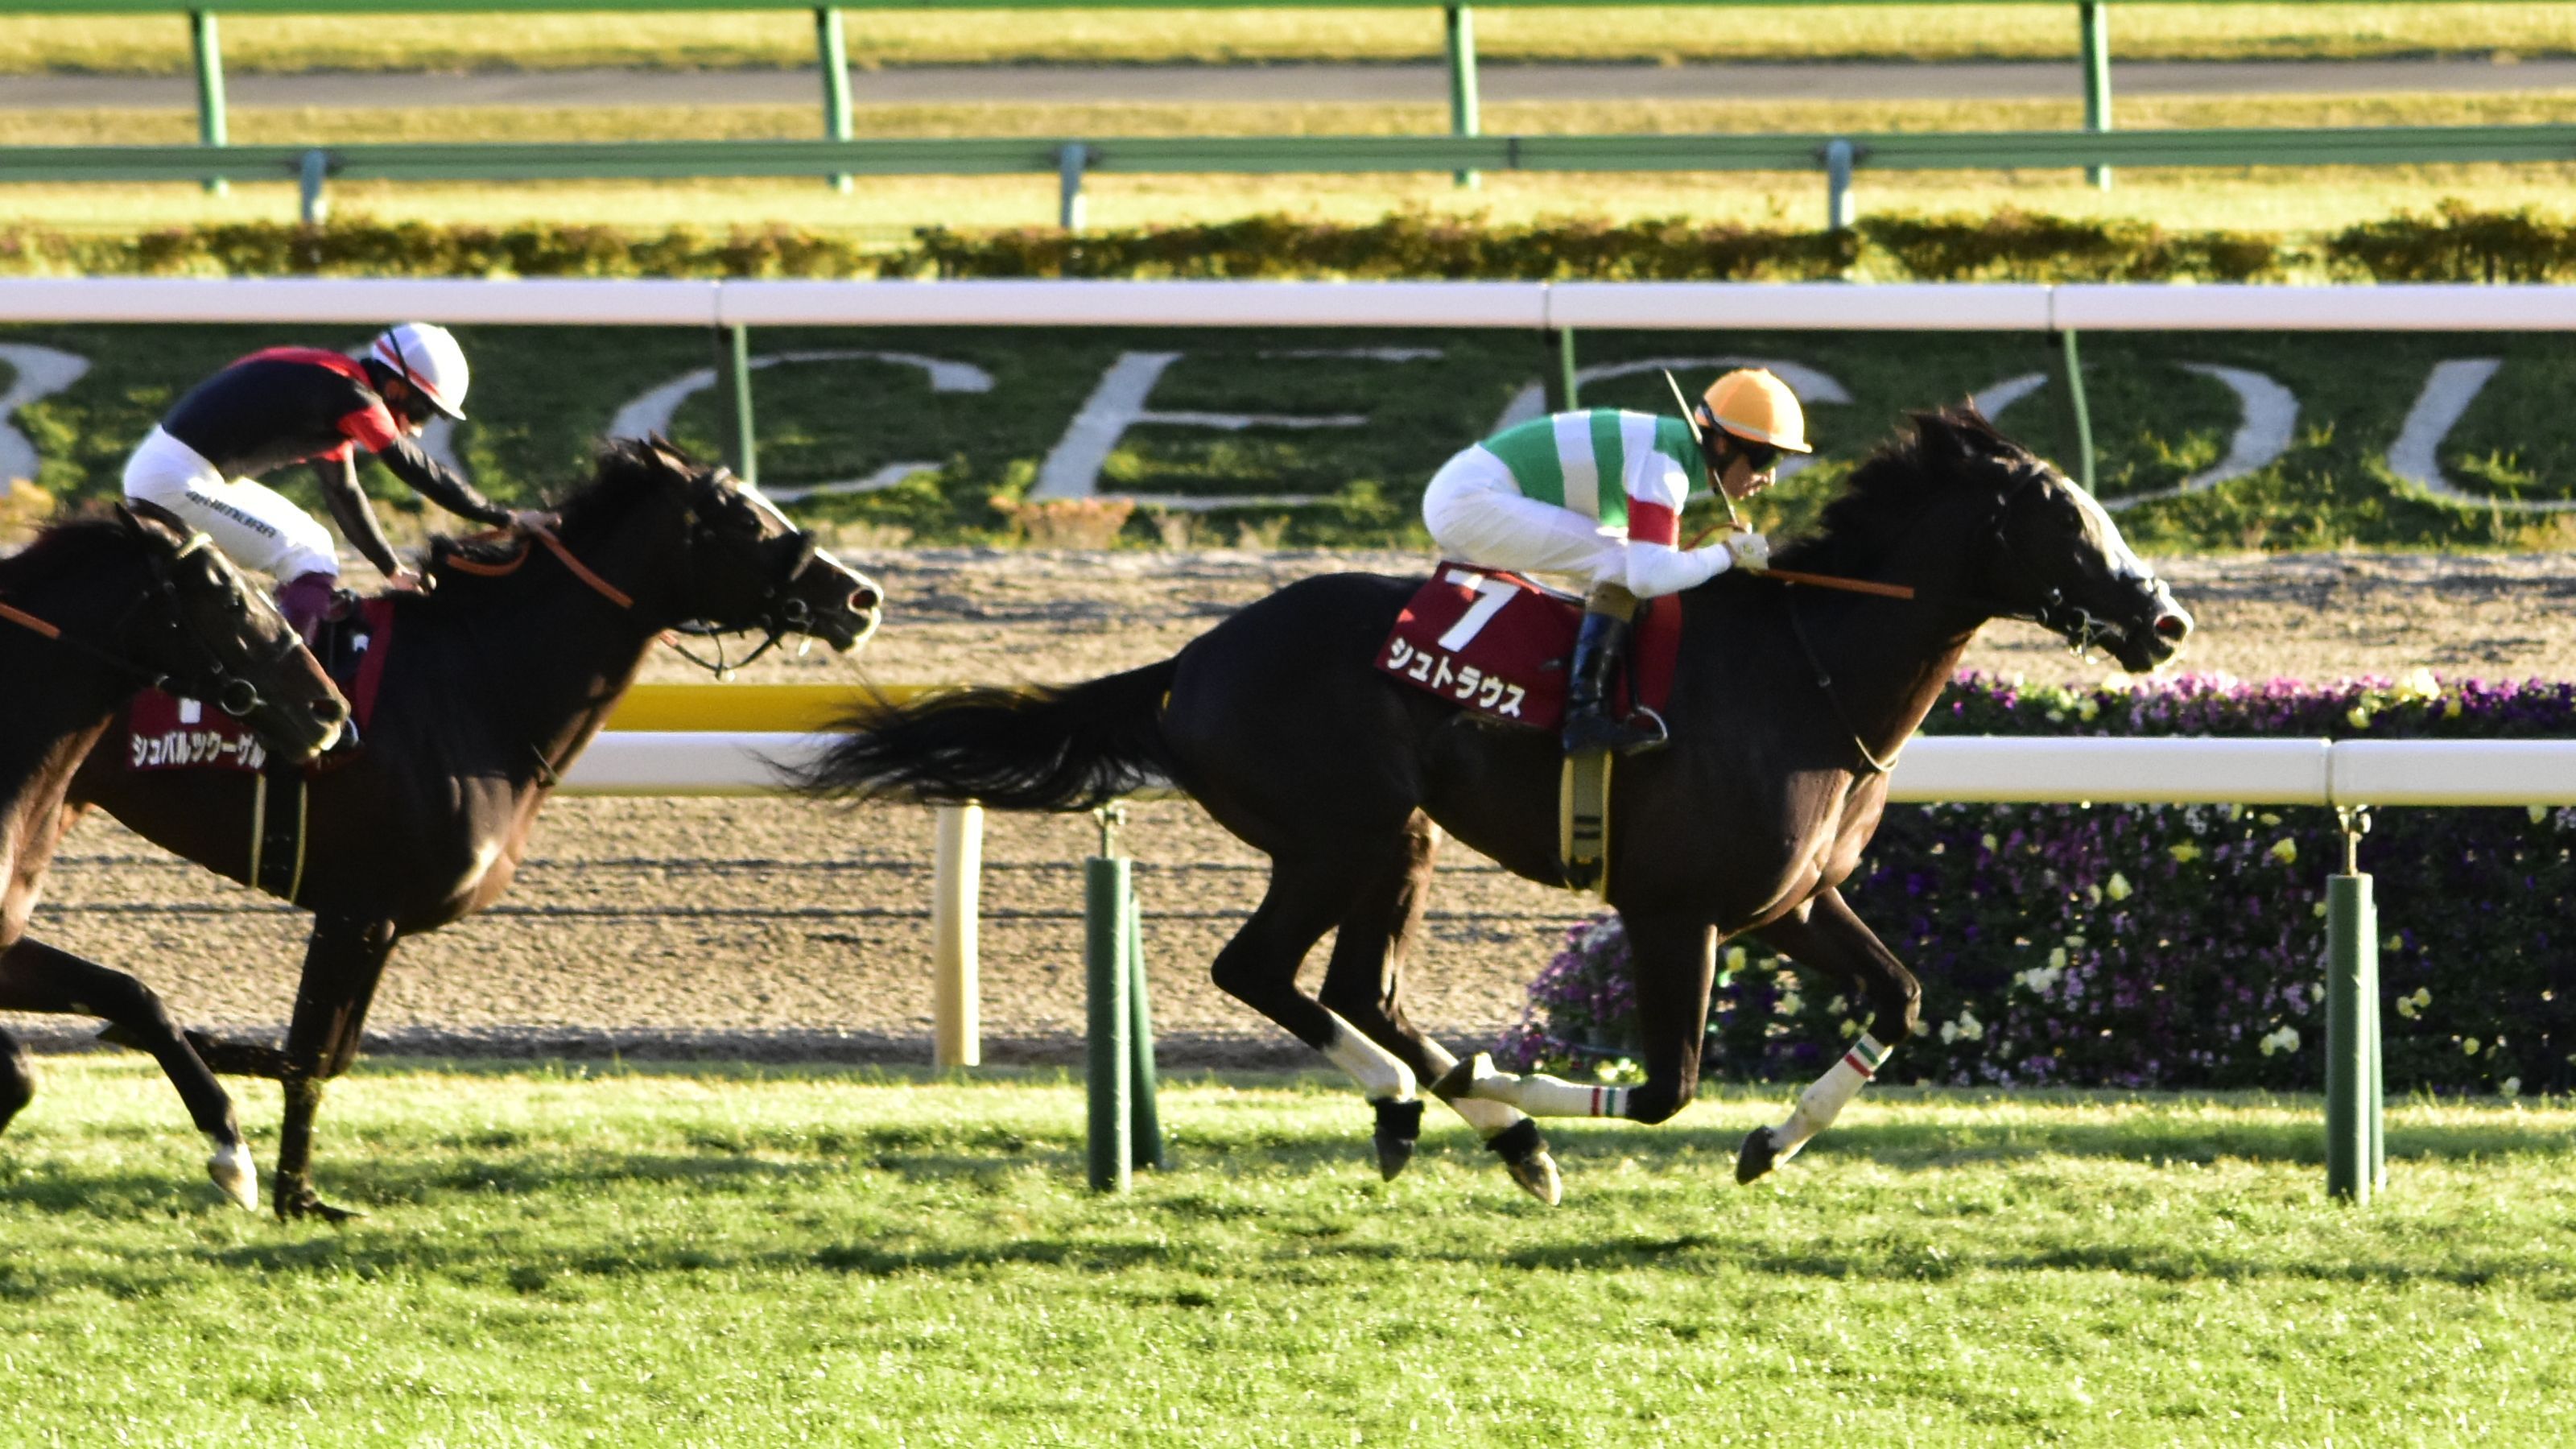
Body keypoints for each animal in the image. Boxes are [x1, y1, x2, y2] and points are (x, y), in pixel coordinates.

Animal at [59, 438, 882, 1220]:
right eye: (743, 519)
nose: (861, 596)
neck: (476, 685)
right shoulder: (355, 907)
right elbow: (307, 1056)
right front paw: (284, 1184)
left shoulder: (381, 918)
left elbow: (327, 1056)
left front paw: (298, 1188)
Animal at [795, 408, 2192, 1202]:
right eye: (2067, 522)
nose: (2167, 622)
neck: (1808, 669)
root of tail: (1191, 658)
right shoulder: (1674, 911)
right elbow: (1666, 1087)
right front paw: (1527, 1088)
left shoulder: (1791, 905)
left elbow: (1898, 1000)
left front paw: (1773, 1143)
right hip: (1346, 833)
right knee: (1271, 974)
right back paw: (1470, 1113)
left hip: (1390, 841)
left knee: (1350, 988)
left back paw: (1455, 1118)